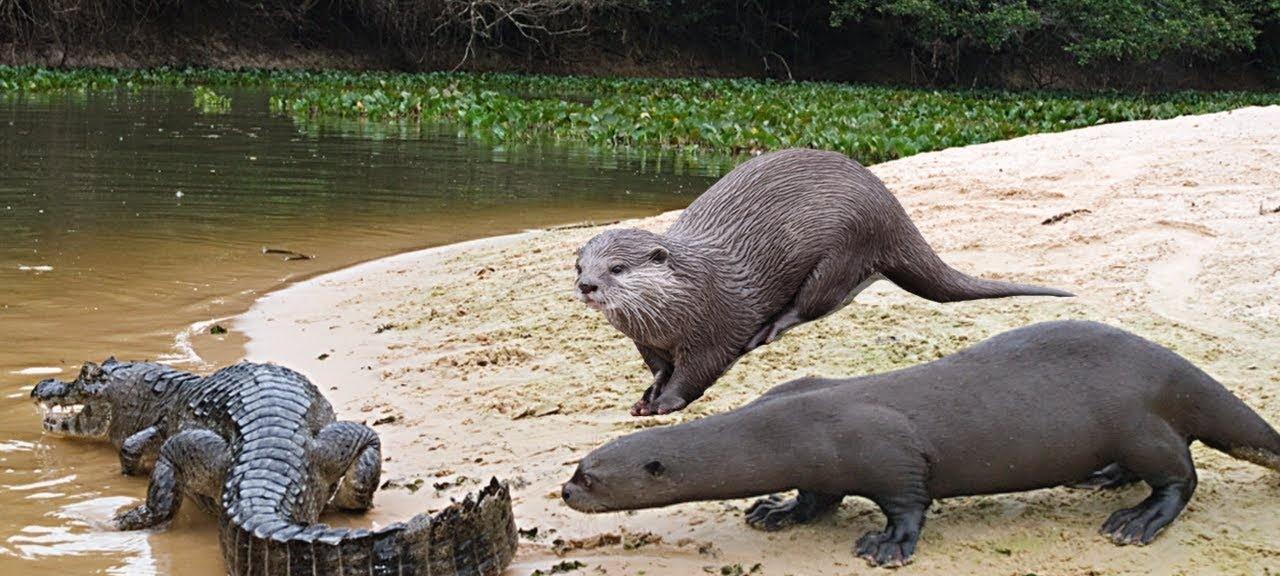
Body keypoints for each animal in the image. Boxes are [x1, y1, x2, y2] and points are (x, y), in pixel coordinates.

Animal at [565, 321, 1280, 568]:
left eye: (590, 476)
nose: (565, 490)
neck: (787, 426)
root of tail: (1177, 367)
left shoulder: (887, 454)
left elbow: (908, 503)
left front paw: (886, 546)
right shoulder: (821, 467)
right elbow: (815, 497)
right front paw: (777, 510)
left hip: (1139, 424)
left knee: (1182, 475)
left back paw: (1136, 521)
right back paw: (1102, 480)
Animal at [573, 148, 1070, 417]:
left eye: (617, 268)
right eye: (580, 266)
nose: (587, 286)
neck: (680, 304)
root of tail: (890, 208)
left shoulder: (714, 328)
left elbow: (697, 371)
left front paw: (666, 402)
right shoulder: (649, 344)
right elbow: (659, 369)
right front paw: (647, 395)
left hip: (845, 244)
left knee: (817, 301)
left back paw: (771, 328)